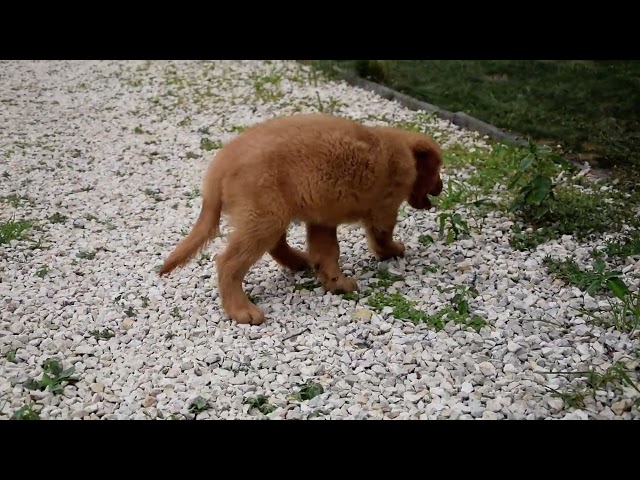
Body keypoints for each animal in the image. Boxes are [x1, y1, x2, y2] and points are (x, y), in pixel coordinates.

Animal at [158, 113, 442, 324]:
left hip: (271, 212)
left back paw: (299, 261)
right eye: (438, 170)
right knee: (228, 262)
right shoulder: (384, 207)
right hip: (265, 215)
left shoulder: (322, 220)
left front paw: (336, 283)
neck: (402, 150)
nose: (440, 188)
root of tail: (220, 166)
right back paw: (241, 310)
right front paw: (393, 251)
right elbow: (381, 237)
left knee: (277, 246)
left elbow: (327, 253)